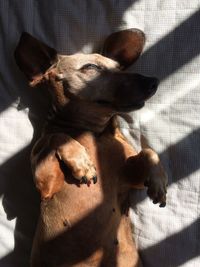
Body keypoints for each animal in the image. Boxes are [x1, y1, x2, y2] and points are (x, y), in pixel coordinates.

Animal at [14, 29, 167, 267]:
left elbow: (149, 152)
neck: (94, 132)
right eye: (91, 67)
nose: (153, 82)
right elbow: (57, 136)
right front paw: (82, 163)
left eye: (120, 68)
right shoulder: (45, 187)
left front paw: (159, 182)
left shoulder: (129, 179)